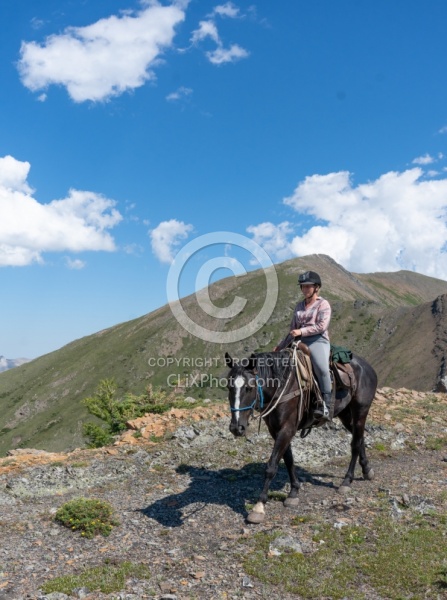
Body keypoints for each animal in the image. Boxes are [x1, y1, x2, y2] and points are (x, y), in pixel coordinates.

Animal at [226, 344, 376, 524]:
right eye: (229, 387)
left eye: (249, 388)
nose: (236, 428)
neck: (281, 386)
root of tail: (367, 366)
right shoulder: (276, 431)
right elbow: (288, 460)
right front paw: (294, 492)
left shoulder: (287, 429)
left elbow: (271, 466)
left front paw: (259, 507)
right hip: (345, 414)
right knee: (359, 439)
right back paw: (367, 470)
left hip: (360, 411)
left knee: (355, 444)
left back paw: (347, 481)